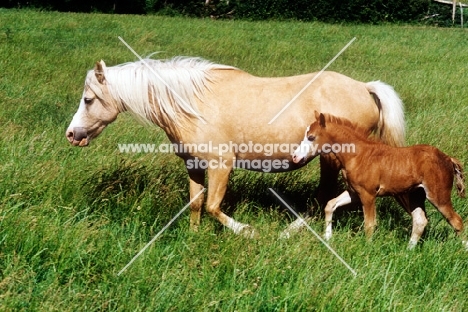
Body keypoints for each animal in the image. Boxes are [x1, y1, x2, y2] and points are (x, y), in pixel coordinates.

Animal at [66, 56, 406, 236]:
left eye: (88, 99)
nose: (72, 134)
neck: (191, 104)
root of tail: (364, 88)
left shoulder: (221, 165)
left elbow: (213, 206)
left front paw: (246, 231)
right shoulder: (193, 165)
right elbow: (196, 203)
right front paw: (193, 236)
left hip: (332, 160)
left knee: (324, 197)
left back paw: (289, 232)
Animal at [292, 112, 464, 249]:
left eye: (311, 137)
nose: (295, 157)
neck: (358, 154)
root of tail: (448, 159)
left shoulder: (368, 194)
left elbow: (370, 224)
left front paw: (367, 248)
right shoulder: (354, 192)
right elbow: (330, 205)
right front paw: (327, 237)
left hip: (438, 195)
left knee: (457, 221)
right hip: (416, 195)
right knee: (420, 221)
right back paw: (408, 251)